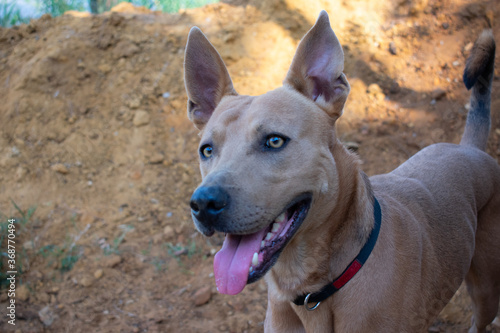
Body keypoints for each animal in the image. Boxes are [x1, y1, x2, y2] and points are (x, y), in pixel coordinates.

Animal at [185, 10, 500, 332]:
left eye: (274, 141)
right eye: (206, 150)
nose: (203, 203)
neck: (310, 289)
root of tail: (469, 148)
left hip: (486, 291)